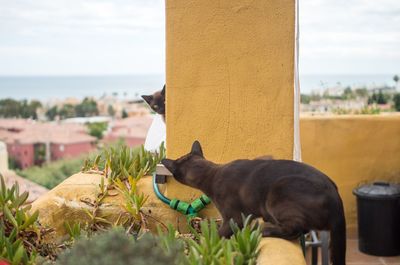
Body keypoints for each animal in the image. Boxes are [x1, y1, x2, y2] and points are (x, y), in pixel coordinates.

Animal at [161, 140, 346, 264]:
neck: (211, 175)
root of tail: (337, 199)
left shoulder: (233, 218)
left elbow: (218, 236)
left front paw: (204, 248)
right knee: (302, 229)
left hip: (277, 191)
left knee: (295, 228)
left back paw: (264, 229)